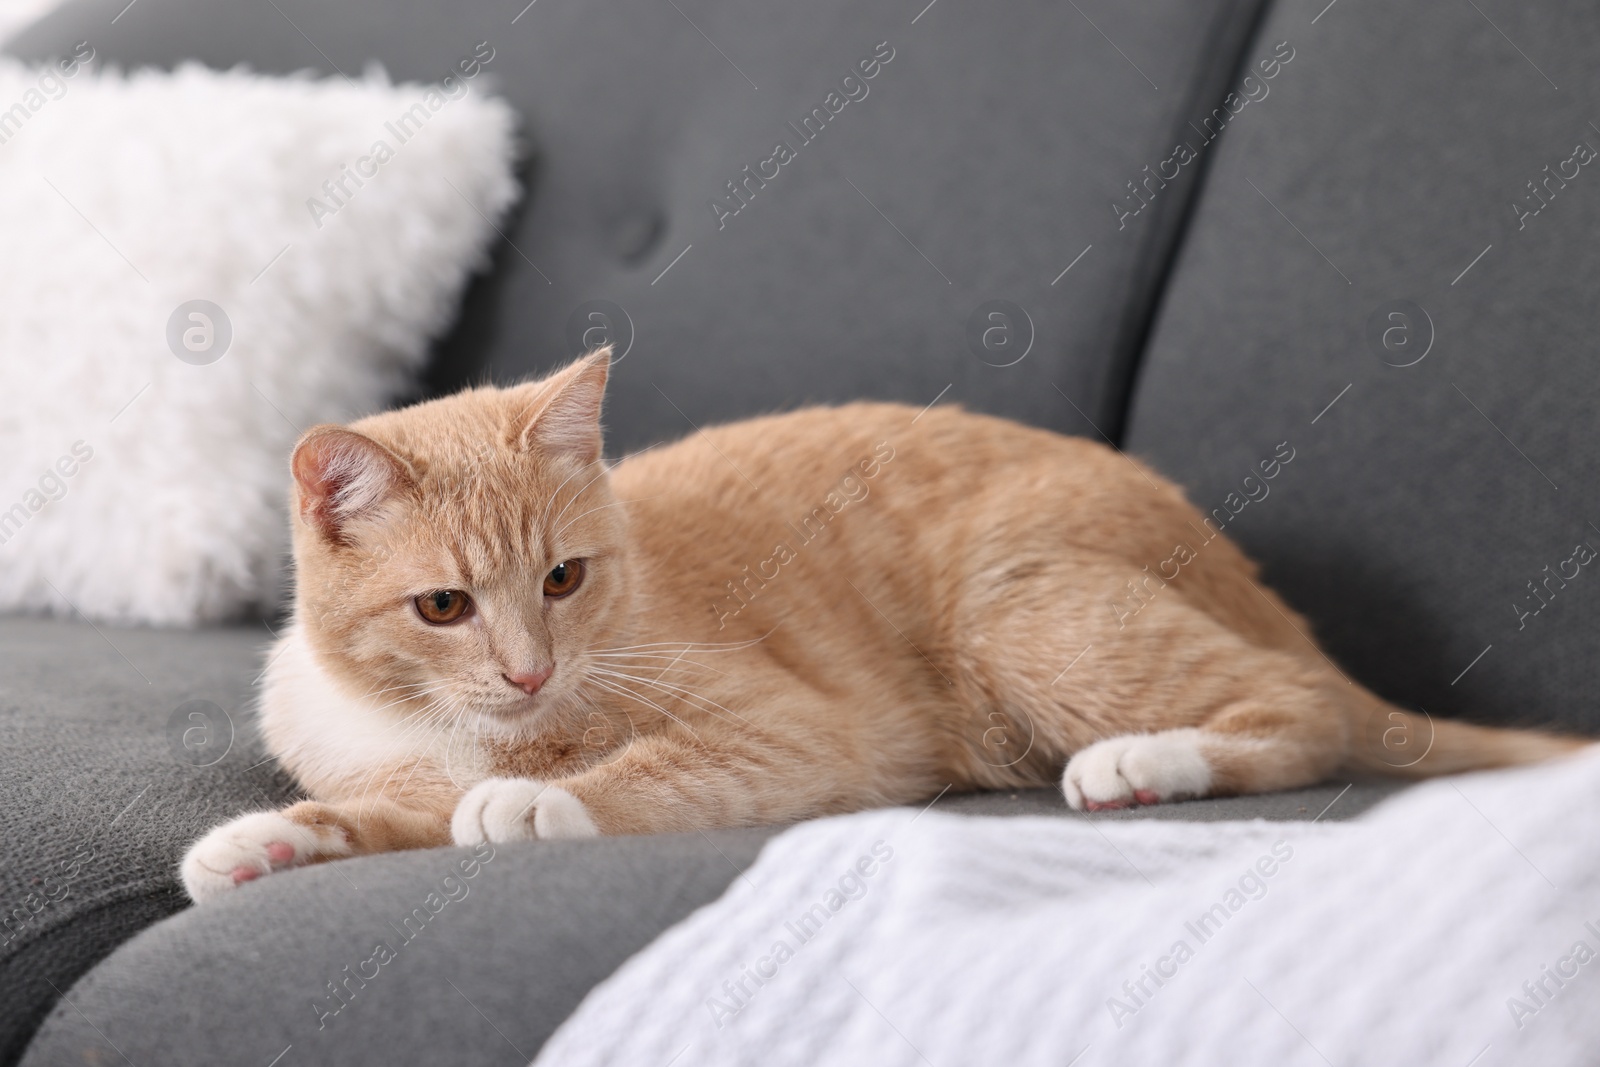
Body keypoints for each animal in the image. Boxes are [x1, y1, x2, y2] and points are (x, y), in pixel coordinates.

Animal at [181, 350, 1580, 902]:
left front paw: (537, 798)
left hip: (1024, 612)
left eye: (565, 579)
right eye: (444, 605)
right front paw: (264, 841)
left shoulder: (795, 733)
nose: (530, 671)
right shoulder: (391, 773)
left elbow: (640, 771)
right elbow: (378, 813)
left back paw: (1145, 762)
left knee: (1309, 716)